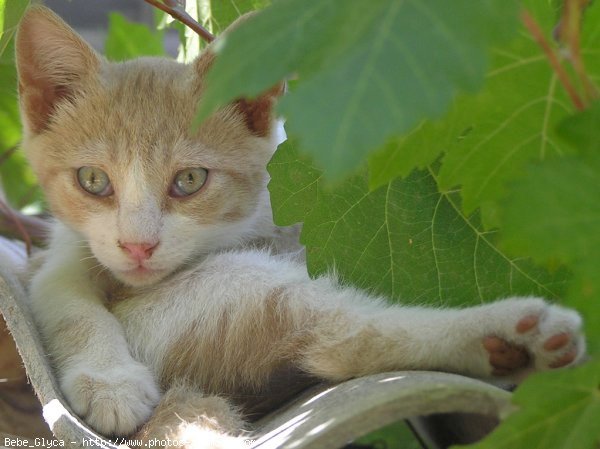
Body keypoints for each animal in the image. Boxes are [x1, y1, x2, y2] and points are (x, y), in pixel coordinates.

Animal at [15, 4, 584, 448]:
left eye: (190, 180)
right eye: (93, 180)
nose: (138, 246)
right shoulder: (59, 255)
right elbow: (65, 298)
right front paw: (109, 381)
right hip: (222, 290)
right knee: (338, 334)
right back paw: (504, 339)